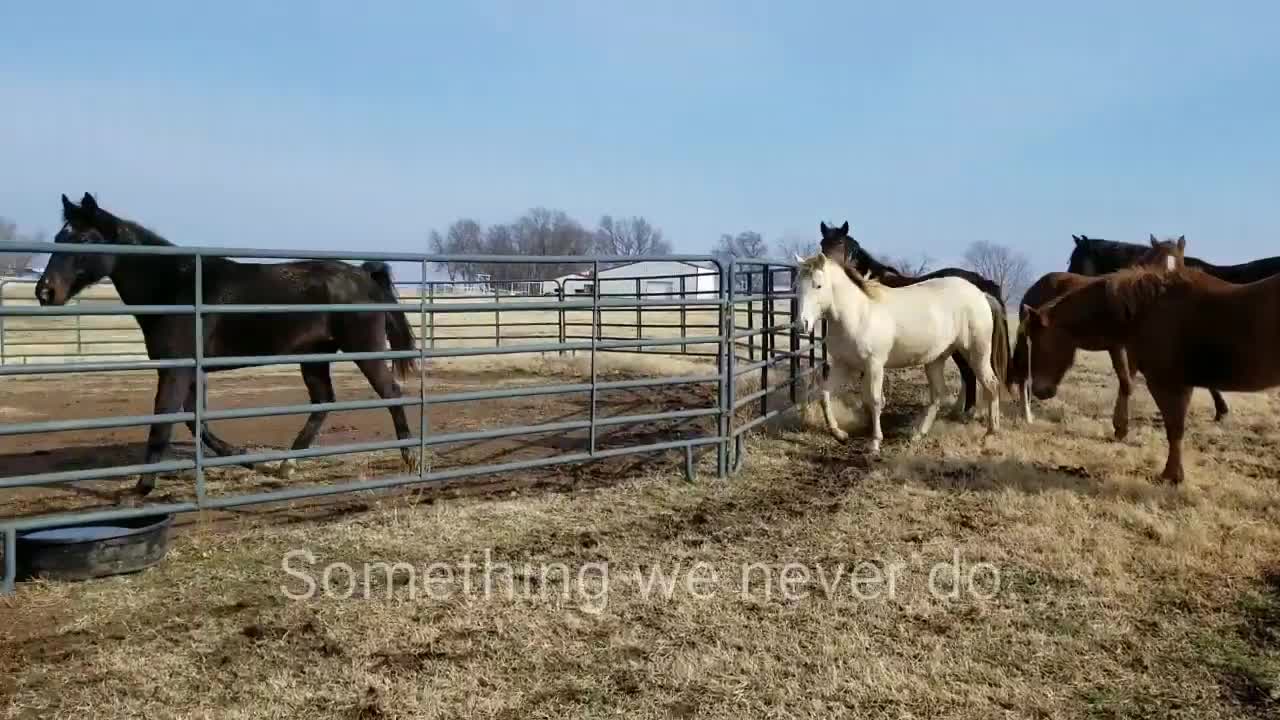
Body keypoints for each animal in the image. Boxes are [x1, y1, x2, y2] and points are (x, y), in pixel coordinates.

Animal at [36, 193, 419, 497]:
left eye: (85, 239)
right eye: (58, 237)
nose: (45, 292)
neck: (174, 285)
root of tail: (363, 276)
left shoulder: (175, 369)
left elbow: (163, 424)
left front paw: (140, 489)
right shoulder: (189, 370)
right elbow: (196, 423)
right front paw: (244, 459)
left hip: (364, 350)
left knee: (390, 393)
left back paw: (410, 458)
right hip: (314, 356)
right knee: (323, 403)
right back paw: (286, 465)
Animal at [793, 252, 1003, 450]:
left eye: (818, 286)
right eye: (797, 287)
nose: (801, 325)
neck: (858, 314)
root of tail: (981, 294)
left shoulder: (874, 365)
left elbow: (875, 400)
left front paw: (875, 442)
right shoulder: (844, 365)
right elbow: (824, 394)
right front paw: (839, 434)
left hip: (976, 353)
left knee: (991, 385)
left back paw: (990, 433)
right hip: (936, 359)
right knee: (938, 395)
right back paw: (918, 435)